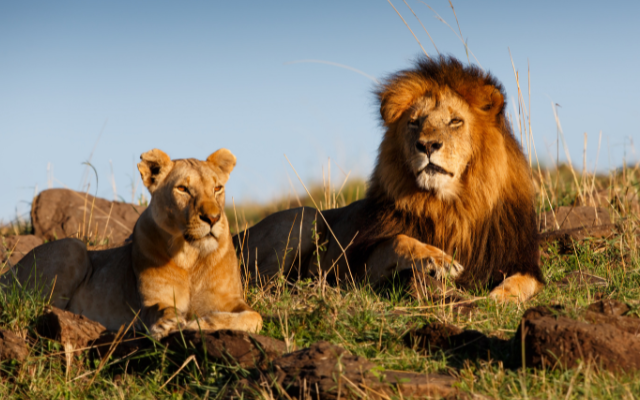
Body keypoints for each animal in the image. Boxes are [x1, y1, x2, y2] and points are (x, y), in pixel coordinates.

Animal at [3, 148, 262, 337]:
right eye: (183, 189)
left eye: (217, 188)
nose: (213, 218)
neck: (191, 255)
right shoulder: (151, 301)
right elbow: (159, 309)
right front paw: (168, 323)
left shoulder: (232, 300)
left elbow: (255, 317)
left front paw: (204, 322)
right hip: (72, 247)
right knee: (37, 307)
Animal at [235, 56, 544, 302]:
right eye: (414, 122)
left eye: (455, 121)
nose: (427, 145)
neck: (450, 206)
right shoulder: (360, 269)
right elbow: (399, 240)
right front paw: (439, 260)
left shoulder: (519, 260)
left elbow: (524, 282)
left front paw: (499, 297)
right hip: (305, 217)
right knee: (258, 281)